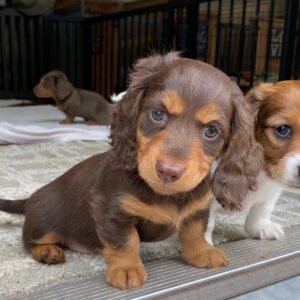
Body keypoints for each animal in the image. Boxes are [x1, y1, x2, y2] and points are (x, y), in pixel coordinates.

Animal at [205, 80, 300, 244]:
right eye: (283, 129)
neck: (261, 173)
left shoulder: (271, 192)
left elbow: (262, 209)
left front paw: (261, 226)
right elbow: (205, 222)